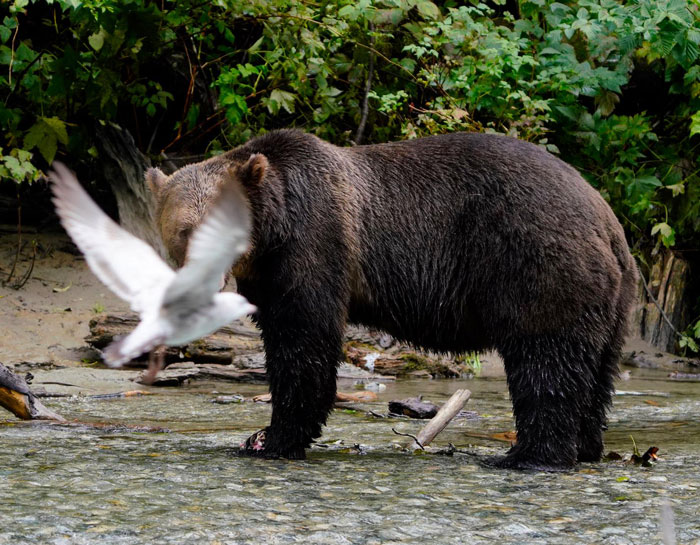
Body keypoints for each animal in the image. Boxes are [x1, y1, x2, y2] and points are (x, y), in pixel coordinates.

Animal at [146, 129, 637, 470]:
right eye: (184, 230)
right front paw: (262, 436)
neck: (274, 229)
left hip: (535, 260)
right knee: (596, 371)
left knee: (544, 358)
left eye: (219, 228)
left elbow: (304, 342)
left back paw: (528, 455)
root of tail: (606, 218)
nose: (203, 282)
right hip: (613, 299)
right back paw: (585, 446)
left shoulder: (315, 243)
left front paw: (271, 439)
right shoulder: (269, 273)